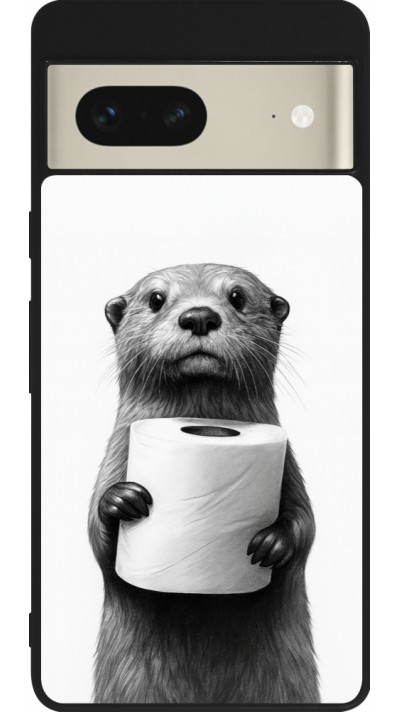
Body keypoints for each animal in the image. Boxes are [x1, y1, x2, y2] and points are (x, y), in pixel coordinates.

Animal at [88, 263, 319, 704]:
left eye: (238, 297)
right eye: (156, 299)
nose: (199, 316)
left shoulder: (290, 467)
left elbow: (307, 524)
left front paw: (273, 542)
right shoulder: (114, 458)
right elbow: (96, 538)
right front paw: (121, 501)